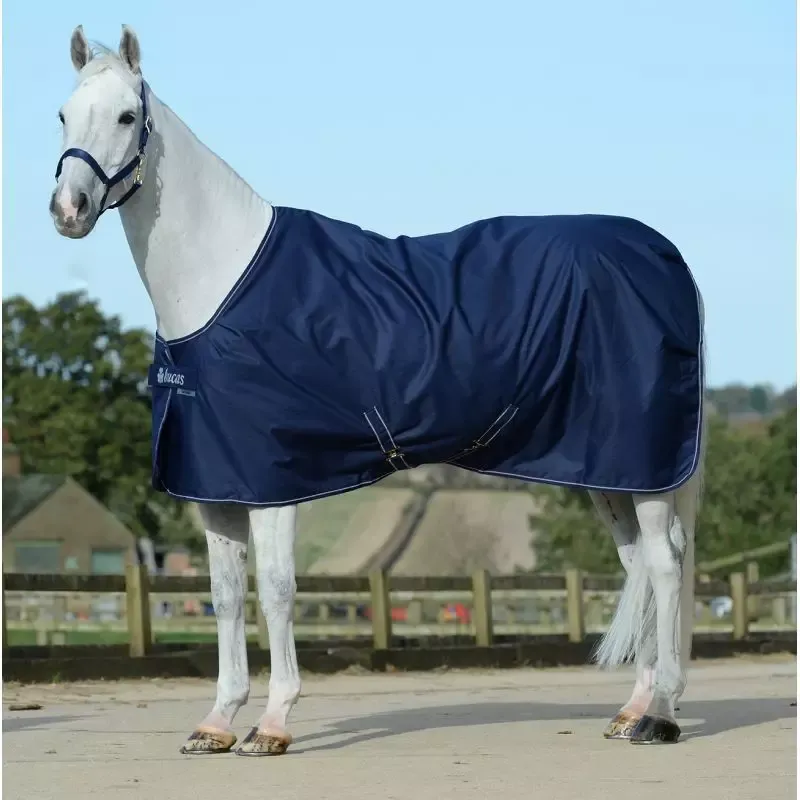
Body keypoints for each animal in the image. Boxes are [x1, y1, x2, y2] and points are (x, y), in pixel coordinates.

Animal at [50, 25, 705, 753]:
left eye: (125, 117)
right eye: (64, 115)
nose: (69, 210)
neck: (223, 280)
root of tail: (665, 257)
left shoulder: (275, 482)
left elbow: (276, 588)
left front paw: (273, 723)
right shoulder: (215, 485)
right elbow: (225, 594)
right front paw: (217, 722)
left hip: (645, 464)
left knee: (666, 565)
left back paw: (661, 714)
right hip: (608, 471)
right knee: (637, 565)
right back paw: (630, 710)